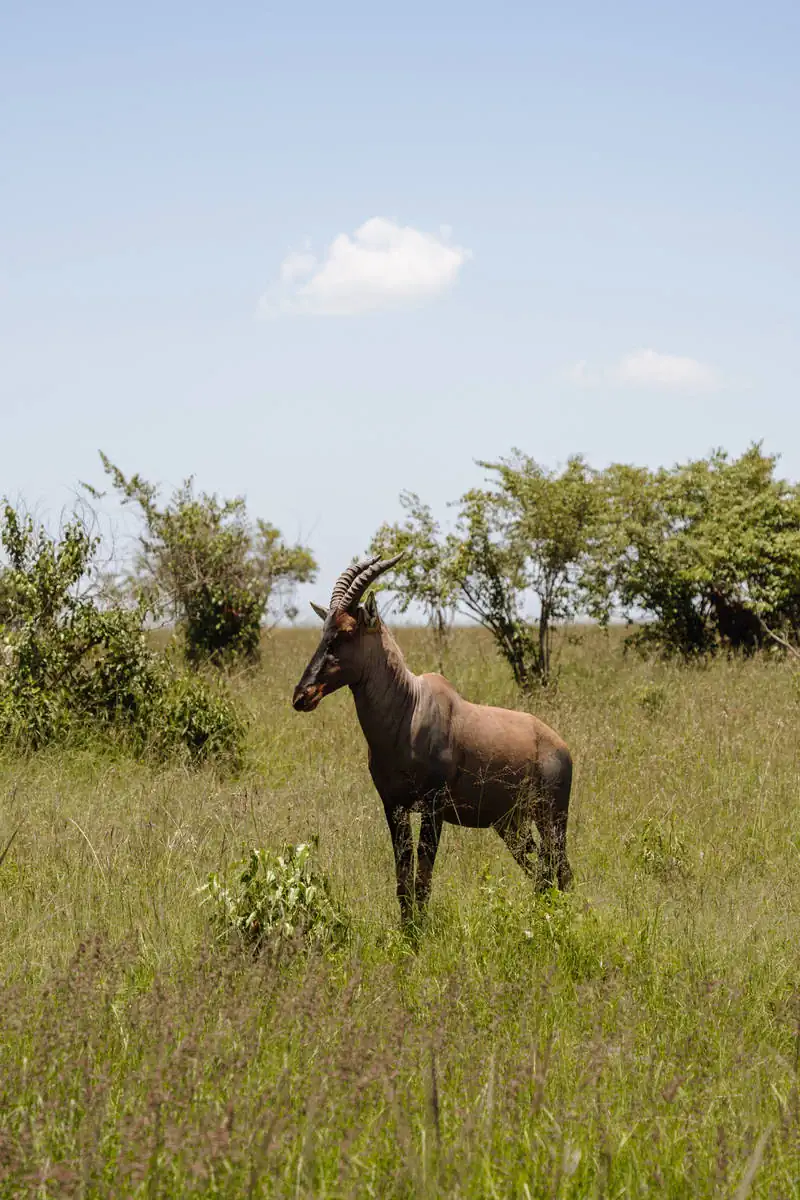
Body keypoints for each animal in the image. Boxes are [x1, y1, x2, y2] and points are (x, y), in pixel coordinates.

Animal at [291, 556, 573, 921]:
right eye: (323, 630)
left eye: (347, 632)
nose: (302, 695)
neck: (411, 708)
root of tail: (559, 745)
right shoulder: (393, 806)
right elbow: (403, 879)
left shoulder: (433, 808)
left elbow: (423, 880)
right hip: (510, 824)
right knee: (541, 872)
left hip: (552, 817)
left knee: (561, 870)